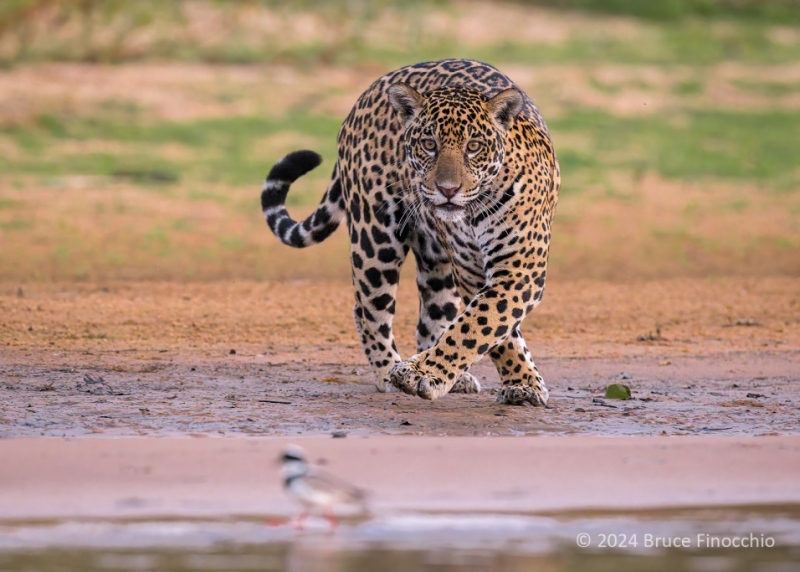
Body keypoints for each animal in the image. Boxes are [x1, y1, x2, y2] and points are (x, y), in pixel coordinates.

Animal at [261, 59, 559, 406]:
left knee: (433, 313)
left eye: (474, 147)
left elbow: (479, 324)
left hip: (436, 260)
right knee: (367, 309)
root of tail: (369, 91)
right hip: (374, 239)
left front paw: (517, 383)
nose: (447, 189)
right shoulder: (473, 271)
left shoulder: (518, 269)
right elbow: (489, 327)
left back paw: (446, 375)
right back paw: (388, 371)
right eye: (429, 145)